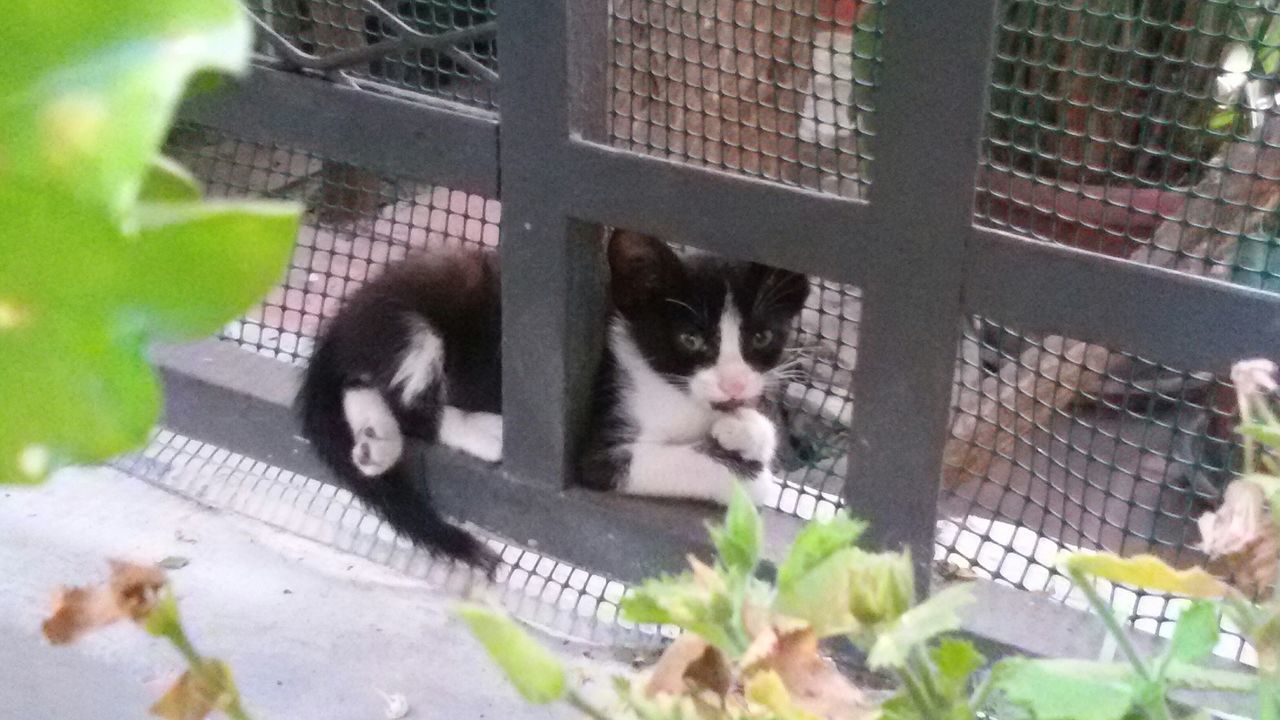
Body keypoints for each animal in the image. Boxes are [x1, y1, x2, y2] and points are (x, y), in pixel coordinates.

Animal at [294, 229, 803, 571]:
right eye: (690, 340)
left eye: (761, 337)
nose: (734, 385)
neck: (672, 387)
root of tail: (345, 317)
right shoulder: (597, 447)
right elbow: (694, 466)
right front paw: (749, 476)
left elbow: (754, 428)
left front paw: (742, 430)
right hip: (421, 322)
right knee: (411, 400)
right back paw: (482, 432)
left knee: (358, 381)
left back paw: (373, 441)